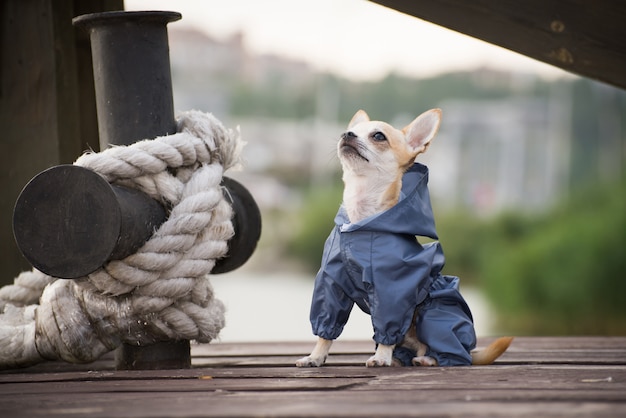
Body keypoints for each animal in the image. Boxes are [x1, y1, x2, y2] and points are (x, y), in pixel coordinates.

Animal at [294, 109, 510, 368]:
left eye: (378, 136)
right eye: (351, 130)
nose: (347, 134)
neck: (361, 222)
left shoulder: (391, 289)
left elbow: (388, 326)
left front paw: (381, 357)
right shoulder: (331, 284)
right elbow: (326, 331)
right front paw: (316, 356)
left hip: (434, 312)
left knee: (453, 353)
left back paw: (427, 359)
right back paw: (400, 358)